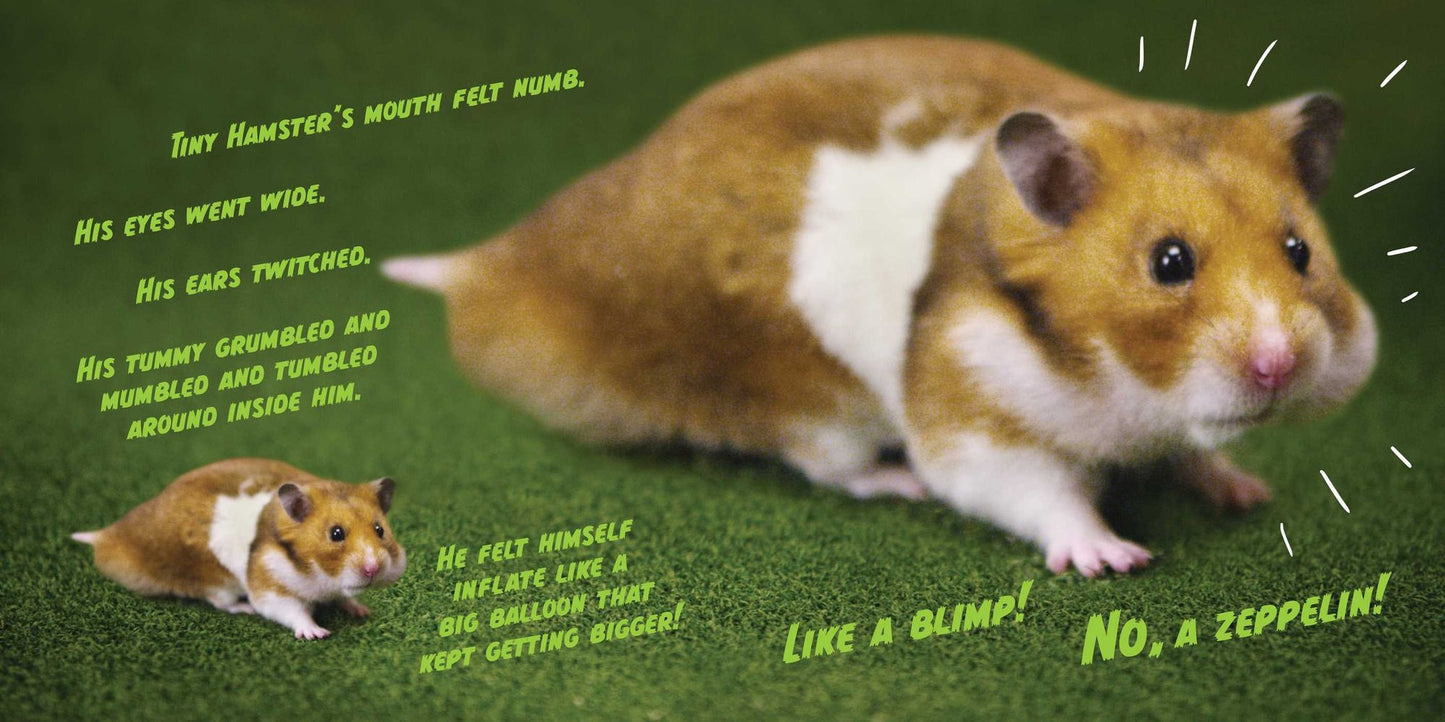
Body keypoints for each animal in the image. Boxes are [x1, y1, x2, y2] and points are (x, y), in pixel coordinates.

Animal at [72, 458, 407, 639]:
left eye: (380, 530)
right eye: (336, 534)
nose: (373, 568)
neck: (320, 576)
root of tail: (111, 537)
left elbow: (344, 598)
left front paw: (362, 610)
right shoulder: (269, 586)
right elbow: (291, 611)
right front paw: (318, 633)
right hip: (216, 581)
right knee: (221, 602)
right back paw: (243, 608)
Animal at [382, 36, 1377, 576]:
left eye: (1299, 251)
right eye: (1168, 262)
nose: (1279, 366)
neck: (1122, 389)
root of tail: (512, 263)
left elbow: (1194, 454)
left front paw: (1242, 491)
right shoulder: (970, 416)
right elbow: (1032, 490)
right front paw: (1114, 557)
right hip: (812, 405)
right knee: (830, 468)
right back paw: (894, 484)